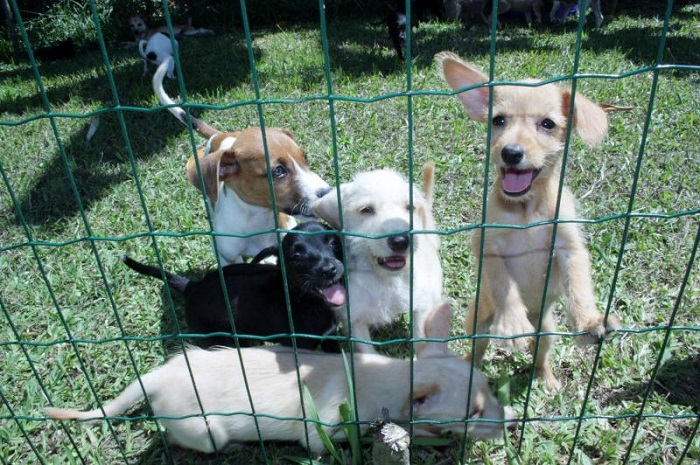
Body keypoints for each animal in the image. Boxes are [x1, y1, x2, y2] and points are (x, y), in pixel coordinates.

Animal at [45, 300, 516, 454]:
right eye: (473, 412)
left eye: (491, 392)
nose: (511, 424)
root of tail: (155, 377)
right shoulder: (325, 432)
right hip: (203, 431)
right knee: (178, 437)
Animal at [123, 219, 348, 350]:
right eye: (296, 257)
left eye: (333, 242)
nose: (329, 269)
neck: (302, 299)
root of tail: (193, 287)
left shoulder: (330, 337)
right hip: (217, 338)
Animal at [151, 57, 330, 264]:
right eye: (278, 171)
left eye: (305, 158)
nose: (328, 192)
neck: (257, 219)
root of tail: (220, 136)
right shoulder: (226, 256)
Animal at [314, 162, 442, 352]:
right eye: (366, 210)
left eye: (409, 207)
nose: (400, 241)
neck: (384, 280)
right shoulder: (354, 319)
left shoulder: (421, 305)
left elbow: (421, 339)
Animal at [438, 51, 624, 392]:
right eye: (498, 120)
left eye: (547, 124)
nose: (511, 153)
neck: (526, 211)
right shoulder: (488, 245)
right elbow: (504, 284)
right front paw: (513, 322)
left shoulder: (569, 247)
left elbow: (579, 286)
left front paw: (589, 321)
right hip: (477, 320)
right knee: (478, 348)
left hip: (547, 329)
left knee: (540, 355)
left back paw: (546, 379)